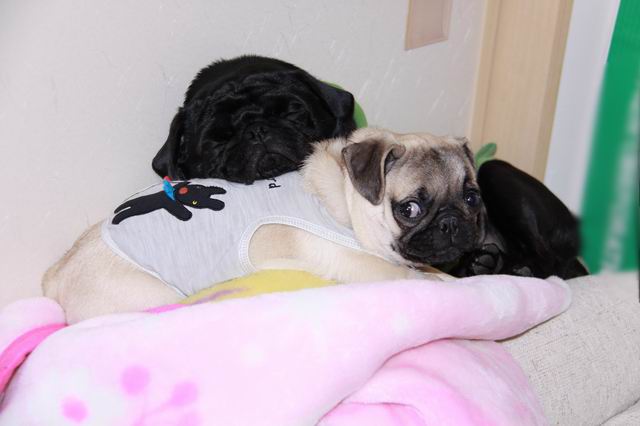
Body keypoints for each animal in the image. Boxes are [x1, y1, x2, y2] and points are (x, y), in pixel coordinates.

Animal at [43, 128, 485, 323]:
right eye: (409, 208)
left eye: (472, 198)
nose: (451, 223)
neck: (343, 202)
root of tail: (57, 276)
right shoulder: (370, 267)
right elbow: (424, 280)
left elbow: (427, 268)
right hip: (149, 297)